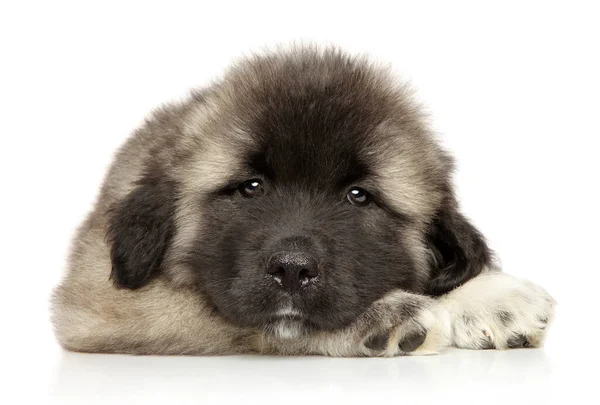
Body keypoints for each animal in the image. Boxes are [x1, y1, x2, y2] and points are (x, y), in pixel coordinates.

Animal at [49, 47, 556, 356]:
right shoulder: (96, 302)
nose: (292, 269)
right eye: (250, 187)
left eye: (358, 196)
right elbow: (236, 319)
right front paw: (383, 316)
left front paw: (489, 298)